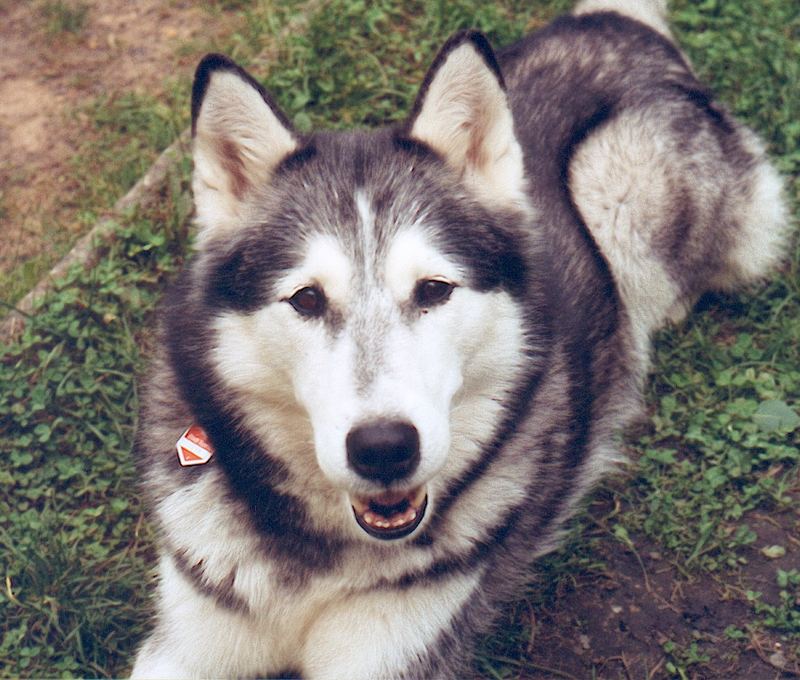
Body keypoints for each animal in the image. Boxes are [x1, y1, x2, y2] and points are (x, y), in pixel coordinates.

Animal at [131, 2, 788, 676]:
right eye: (307, 299)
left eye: (433, 290)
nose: (384, 448)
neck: (317, 556)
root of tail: (619, 23)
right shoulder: (185, 642)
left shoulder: (392, 651)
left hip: (615, 183)